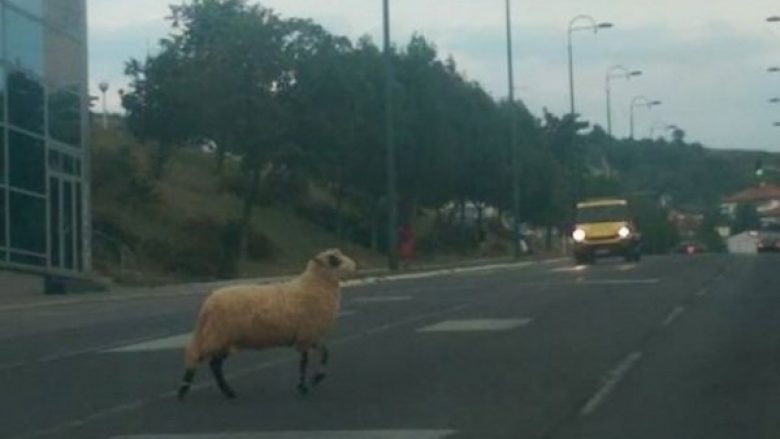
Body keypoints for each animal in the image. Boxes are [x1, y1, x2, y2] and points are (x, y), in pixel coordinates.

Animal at [177, 249, 356, 400]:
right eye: (334, 260)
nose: (354, 266)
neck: (313, 286)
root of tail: (208, 303)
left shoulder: (309, 336)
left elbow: (325, 353)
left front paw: (317, 378)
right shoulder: (306, 335)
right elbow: (304, 362)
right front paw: (303, 386)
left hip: (222, 338)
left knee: (213, 363)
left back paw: (226, 391)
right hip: (219, 334)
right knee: (201, 358)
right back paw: (186, 389)